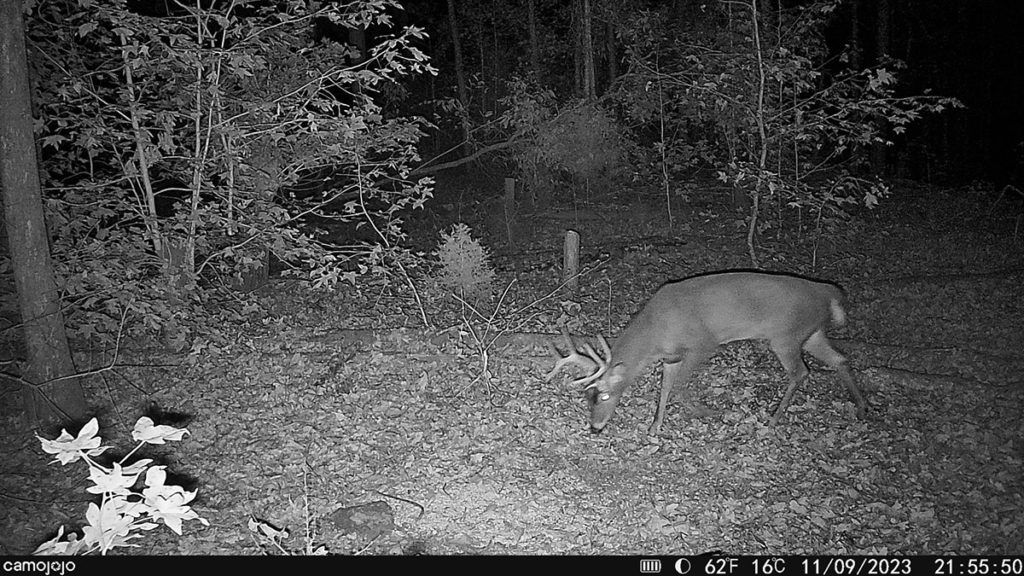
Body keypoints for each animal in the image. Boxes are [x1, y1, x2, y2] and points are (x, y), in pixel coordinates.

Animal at [548, 270, 868, 432]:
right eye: (587, 397)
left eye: (604, 395)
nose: (595, 427)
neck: (655, 332)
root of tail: (830, 292)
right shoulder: (671, 356)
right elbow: (665, 388)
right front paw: (655, 427)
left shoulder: (703, 343)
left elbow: (679, 387)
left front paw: (706, 412)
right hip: (811, 333)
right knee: (840, 359)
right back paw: (862, 407)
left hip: (786, 336)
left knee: (801, 372)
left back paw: (773, 419)